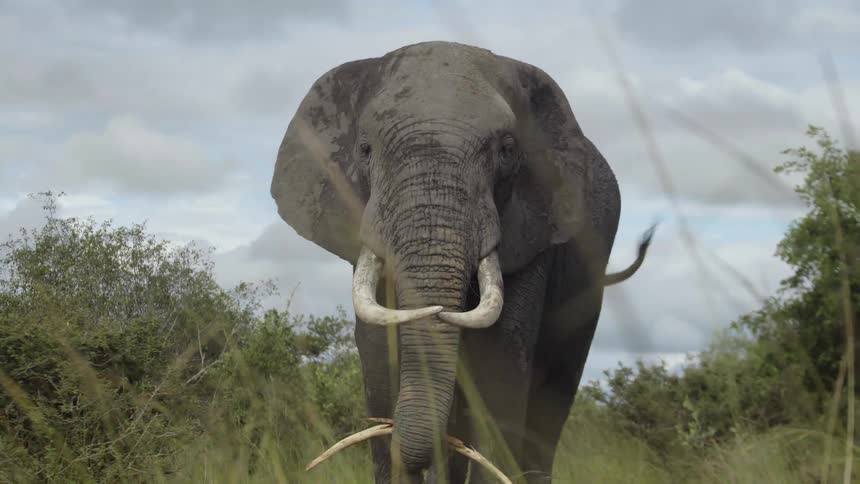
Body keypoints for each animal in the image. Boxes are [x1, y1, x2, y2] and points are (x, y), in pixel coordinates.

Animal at [271, 41, 654, 483]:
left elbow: (499, 363)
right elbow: (379, 349)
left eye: (507, 151)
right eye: (365, 150)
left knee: (553, 397)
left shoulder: (534, 228)